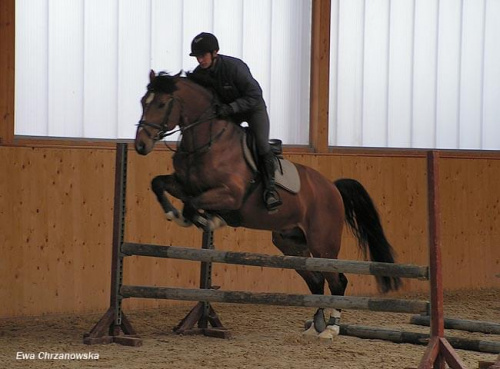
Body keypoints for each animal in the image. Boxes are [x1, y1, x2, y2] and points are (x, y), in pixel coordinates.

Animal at [135, 69, 400, 340]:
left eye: (161, 104)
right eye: (143, 101)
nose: (141, 145)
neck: (205, 142)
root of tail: (333, 188)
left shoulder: (230, 195)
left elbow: (191, 205)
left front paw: (205, 219)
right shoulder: (184, 185)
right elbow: (159, 184)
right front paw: (174, 213)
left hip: (322, 244)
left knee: (337, 280)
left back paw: (331, 328)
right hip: (290, 243)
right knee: (316, 280)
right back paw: (315, 325)